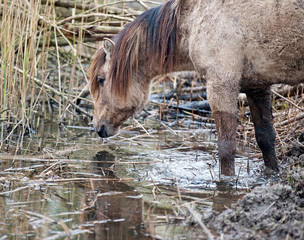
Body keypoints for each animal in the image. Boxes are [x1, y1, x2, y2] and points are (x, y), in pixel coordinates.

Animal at [89, 0, 304, 176]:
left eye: (101, 79)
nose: (97, 127)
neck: (194, 18)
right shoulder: (257, 86)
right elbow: (266, 139)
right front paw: (272, 175)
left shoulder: (221, 83)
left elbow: (226, 148)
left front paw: (226, 182)